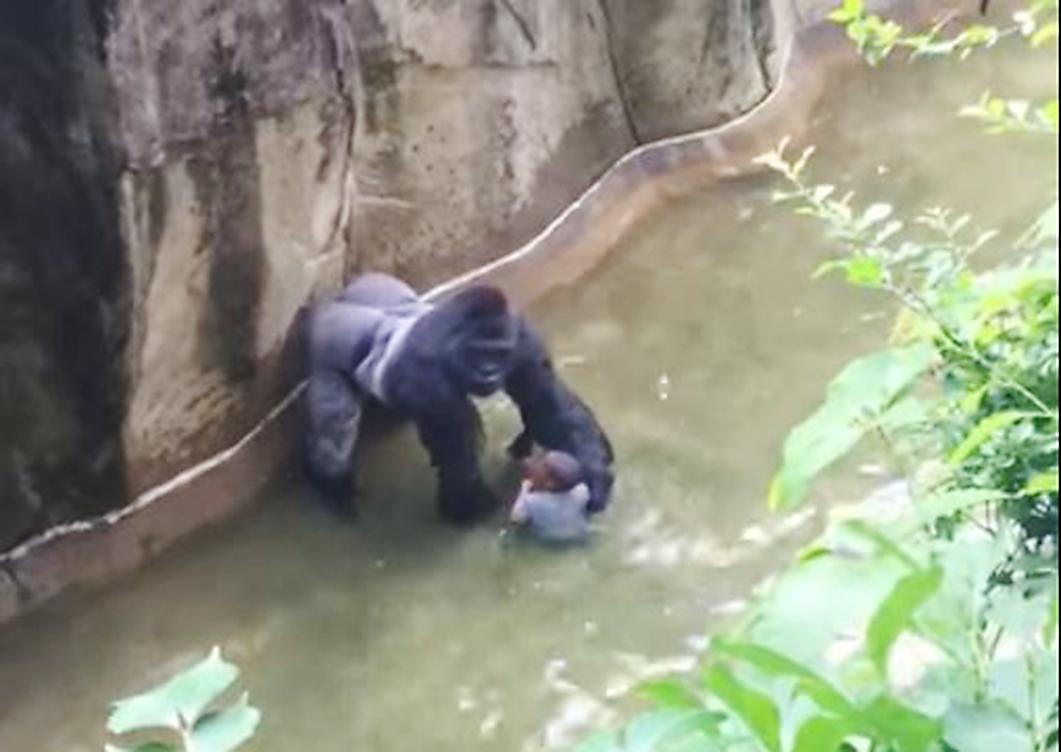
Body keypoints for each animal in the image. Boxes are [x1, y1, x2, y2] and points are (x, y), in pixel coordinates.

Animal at [303, 273, 615, 526]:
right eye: (479, 353)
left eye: (499, 354)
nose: (489, 373)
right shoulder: (424, 368)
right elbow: (457, 445)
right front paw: (467, 507)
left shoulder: (522, 338)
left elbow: (544, 401)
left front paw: (595, 474)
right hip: (325, 342)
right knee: (336, 436)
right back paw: (330, 487)